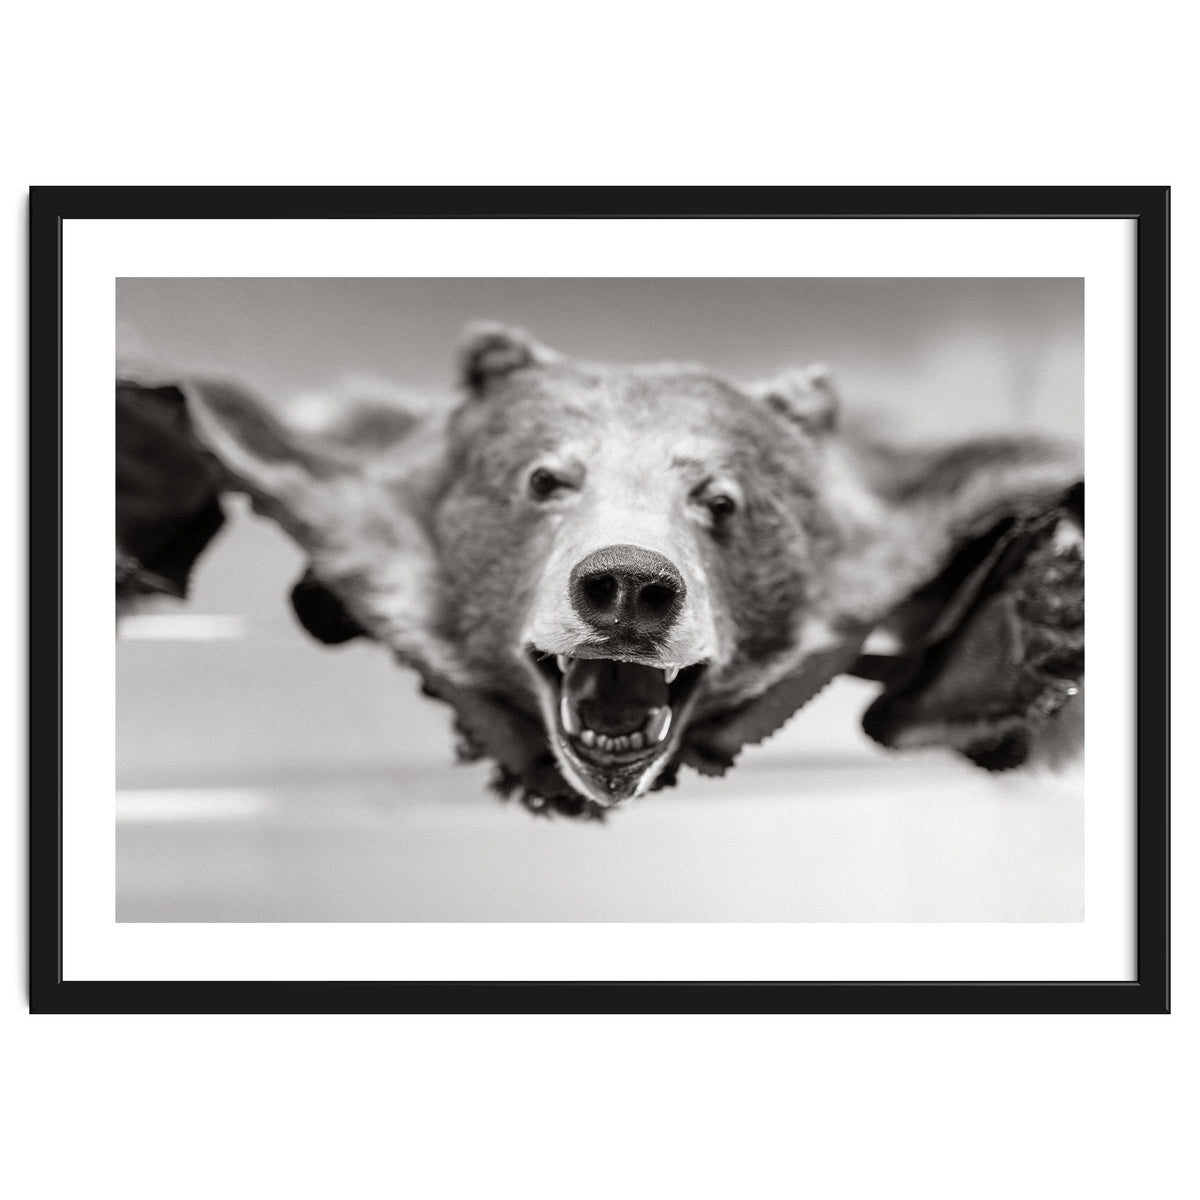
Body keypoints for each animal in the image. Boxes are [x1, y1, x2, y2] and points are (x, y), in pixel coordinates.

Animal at [116, 326, 1084, 817]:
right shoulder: (328, 494)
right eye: (545, 478)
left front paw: (1046, 619)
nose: (628, 585)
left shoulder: (913, 522)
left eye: (721, 498)